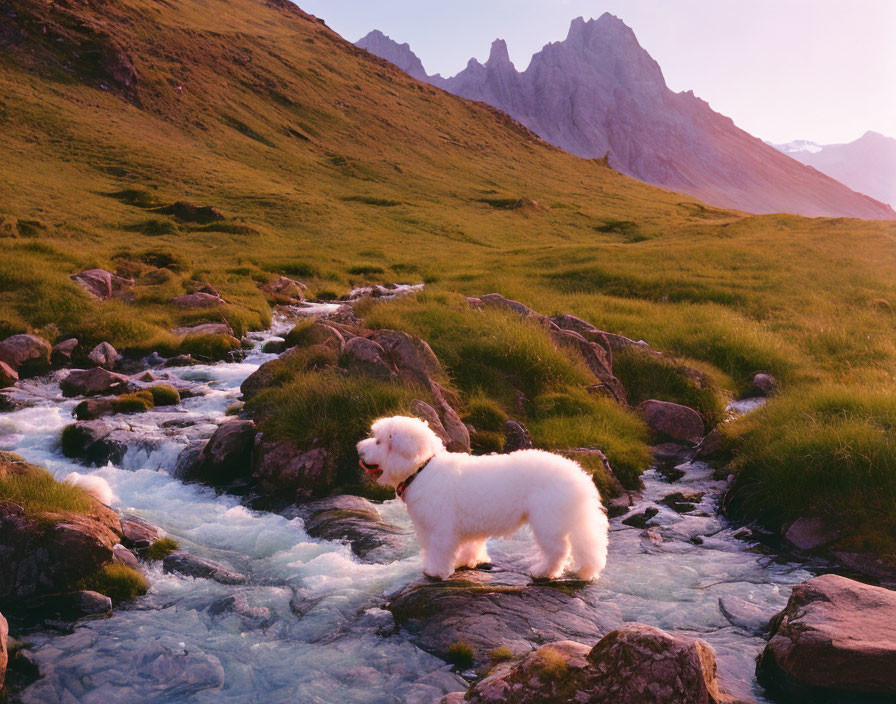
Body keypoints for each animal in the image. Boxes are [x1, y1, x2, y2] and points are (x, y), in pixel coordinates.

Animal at [358, 416, 608, 580]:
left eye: (379, 441)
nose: (358, 449)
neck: (422, 469)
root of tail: (580, 476)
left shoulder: (439, 527)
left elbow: (438, 550)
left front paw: (435, 571)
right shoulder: (464, 528)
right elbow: (468, 546)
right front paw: (466, 561)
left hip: (548, 520)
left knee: (559, 550)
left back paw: (543, 572)